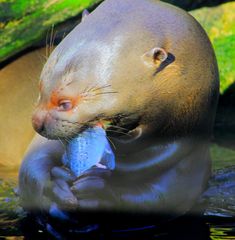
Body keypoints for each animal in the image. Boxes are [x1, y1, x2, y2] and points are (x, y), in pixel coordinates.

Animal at [17, 0, 218, 219]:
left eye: (65, 103)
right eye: (40, 87)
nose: (36, 122)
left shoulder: (189, 162)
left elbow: (159, 200)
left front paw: (100, 191)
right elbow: (31, 168)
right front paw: (56, 187)